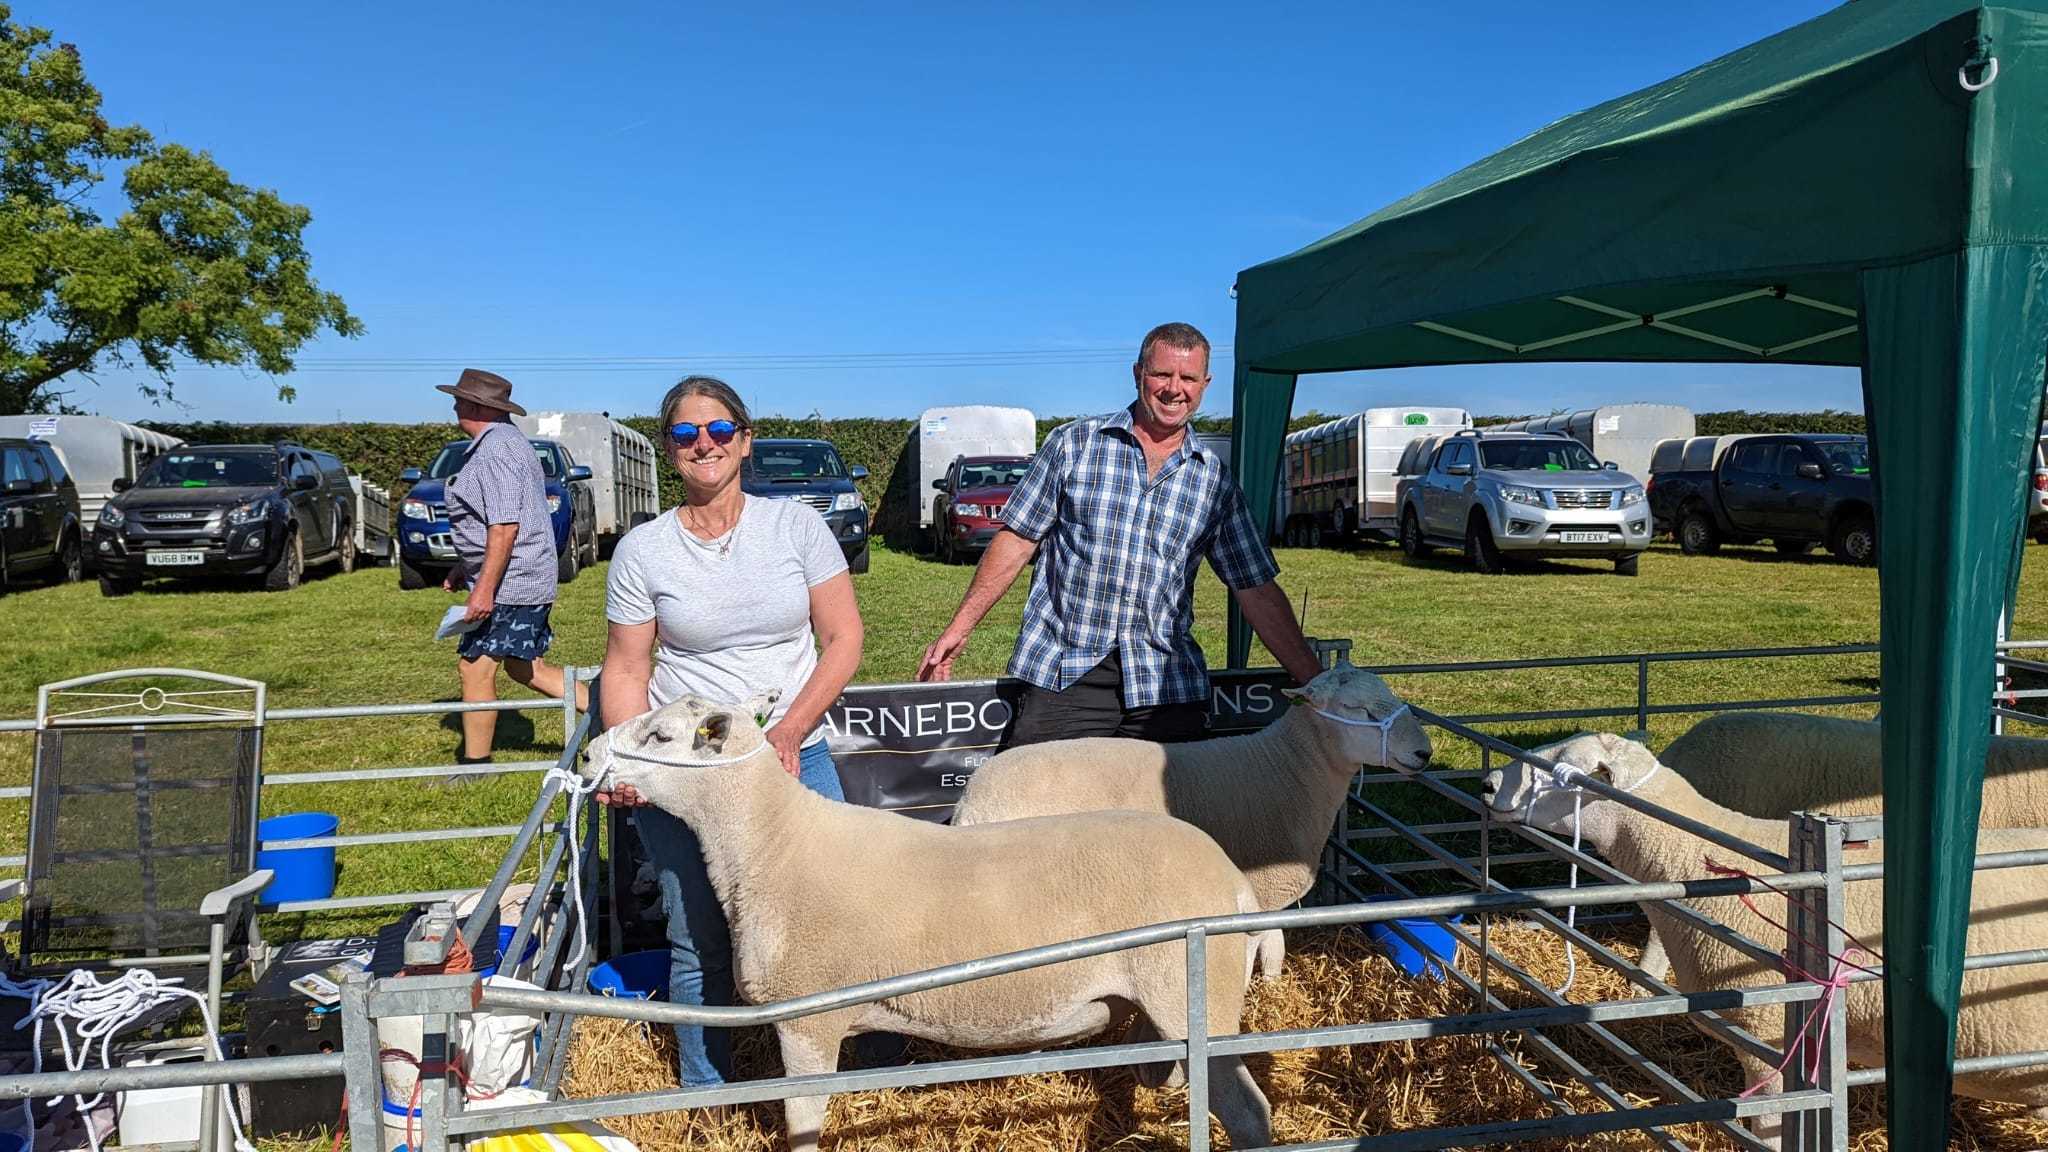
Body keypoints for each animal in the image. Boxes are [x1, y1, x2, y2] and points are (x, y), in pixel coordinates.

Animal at [581, 688, 1277, 1147]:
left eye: (661, 737)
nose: (587, 758)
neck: (773, 846)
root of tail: (1232, 878)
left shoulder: (808, 1019)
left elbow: (803, 1124)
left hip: (1197, 992)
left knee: (1248, 1111)